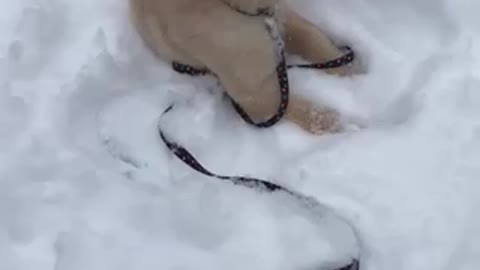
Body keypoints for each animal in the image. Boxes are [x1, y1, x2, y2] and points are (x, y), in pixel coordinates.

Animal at [129, 0, 354, 134]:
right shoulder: (254, 94)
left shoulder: (280, 19)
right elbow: (297, 108)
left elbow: (313, 38)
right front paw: (341, 124)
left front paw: (351, 71)